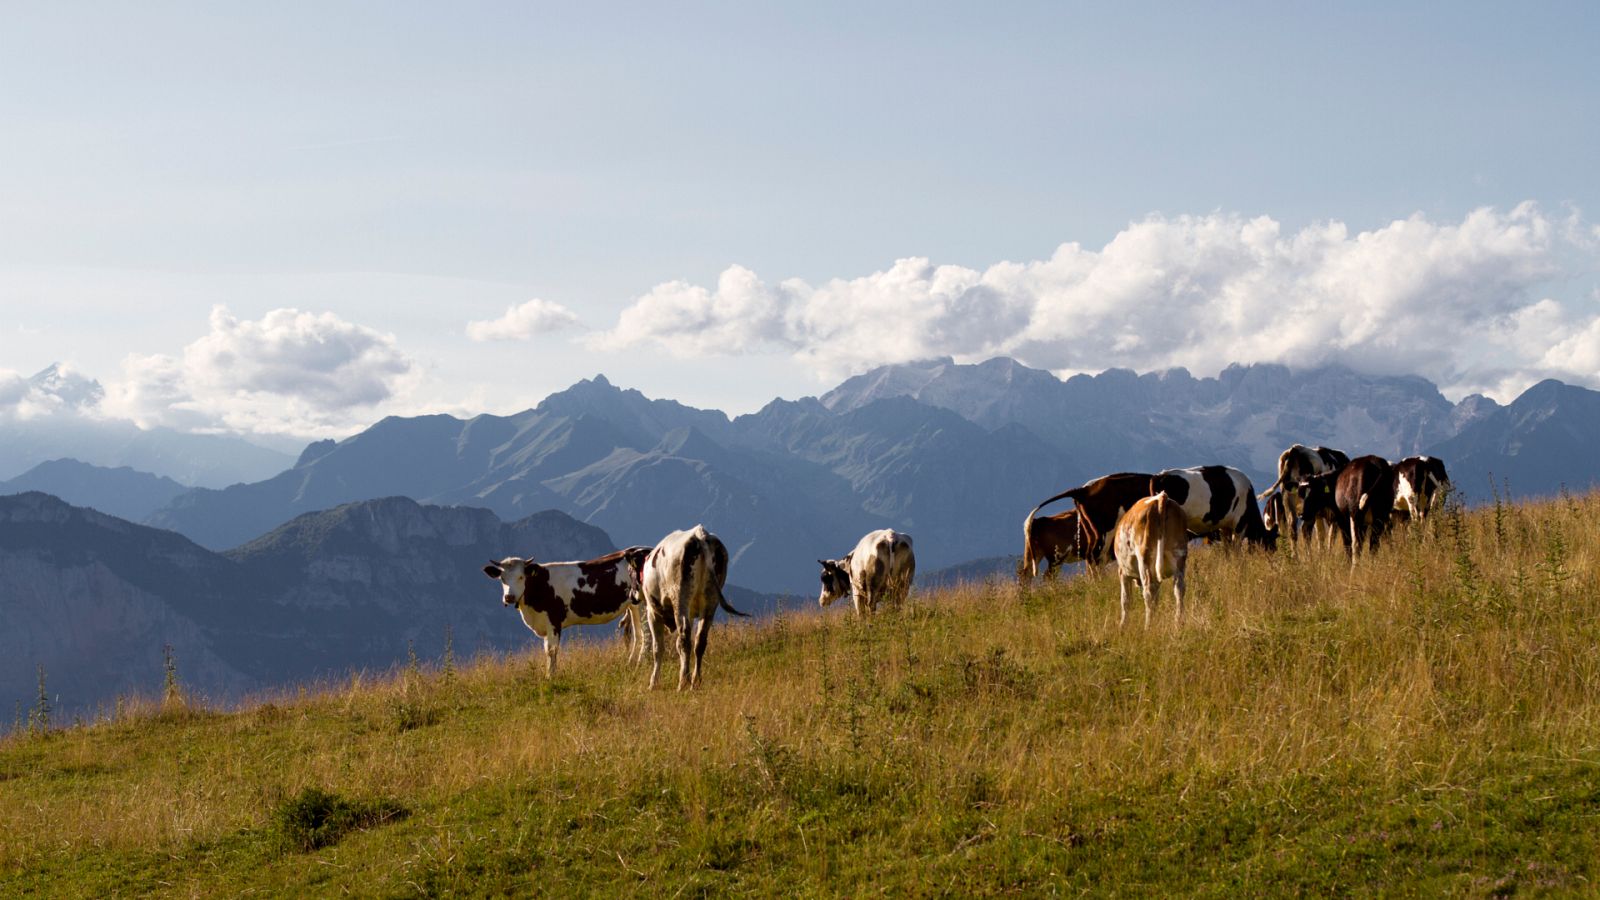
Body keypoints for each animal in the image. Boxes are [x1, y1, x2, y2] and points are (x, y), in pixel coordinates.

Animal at [480, 544, 649, 675]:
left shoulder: (554, 620)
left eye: (521, 577)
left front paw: (551, 676)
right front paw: (549, 674)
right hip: (633, 606)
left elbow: (552, 650)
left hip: (643, 605)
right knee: (639, 635)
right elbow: (547, 650)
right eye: (502, 579)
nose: (509, 597)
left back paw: (639, 665)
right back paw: (631, 664)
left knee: (647, 636)